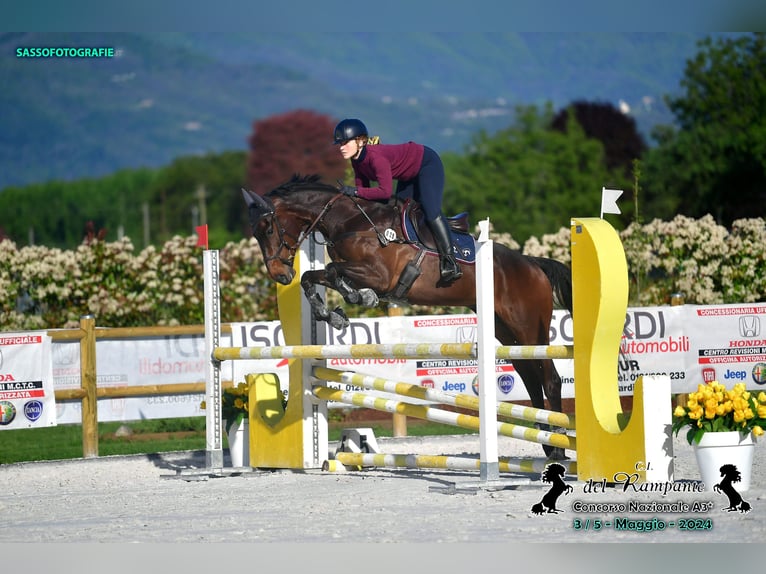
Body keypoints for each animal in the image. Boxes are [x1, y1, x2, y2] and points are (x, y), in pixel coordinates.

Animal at [243, 174, 572, 460]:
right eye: (256, 233)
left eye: (268, 229)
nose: (279, 275)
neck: (350, 221)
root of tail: (532, 264)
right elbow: (311, 277)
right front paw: (332, 315)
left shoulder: (380, 275)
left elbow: (335, 273)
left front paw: (359, 298)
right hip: (506, 330)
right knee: (530, 378)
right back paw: (547, 442)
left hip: (528, 327)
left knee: (550, 379)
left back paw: (558, 447)